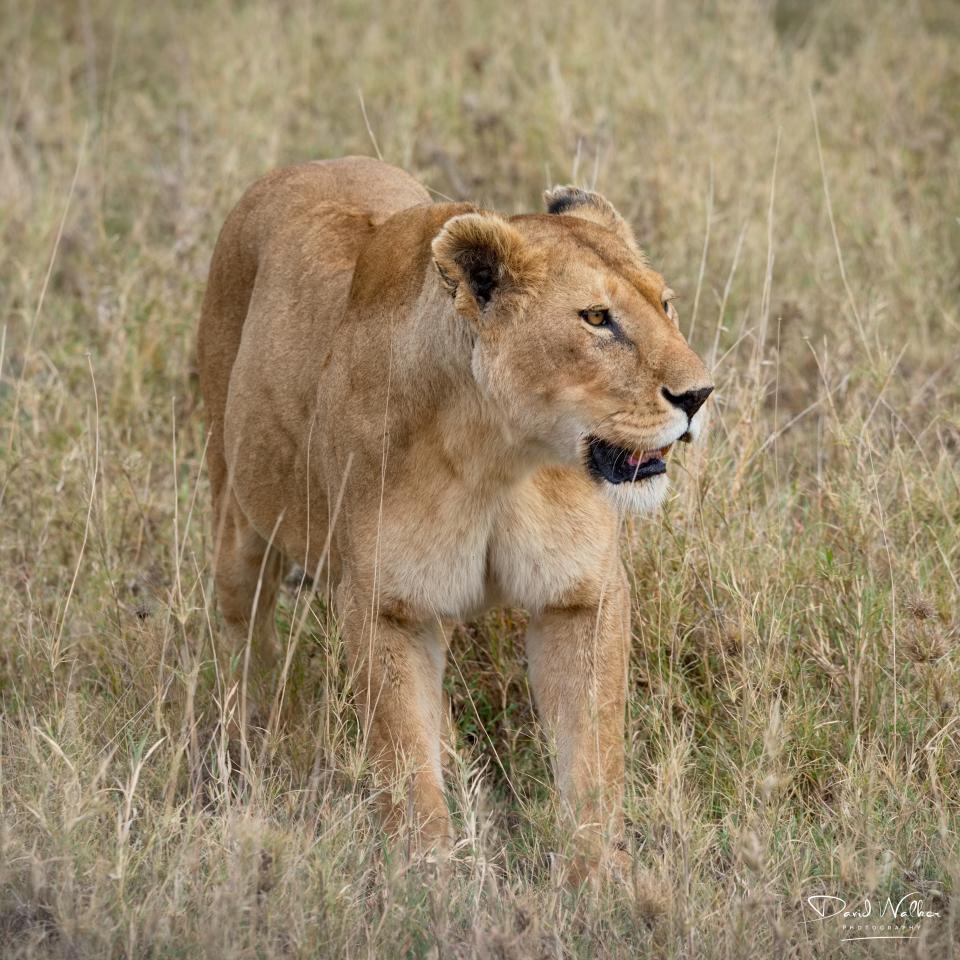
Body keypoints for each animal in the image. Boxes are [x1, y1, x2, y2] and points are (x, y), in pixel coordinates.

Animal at [197, 156, 713, 882]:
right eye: (596, 318)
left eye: (665, 303)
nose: (699, 395)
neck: (500, 459)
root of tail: (301, 166)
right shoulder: (381, 605)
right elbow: (403, 756)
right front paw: (430, 879)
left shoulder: (583, 596)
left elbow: (591, 749)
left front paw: (596, 877)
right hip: (236, 514)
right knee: (245, 639)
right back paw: (244, 754)